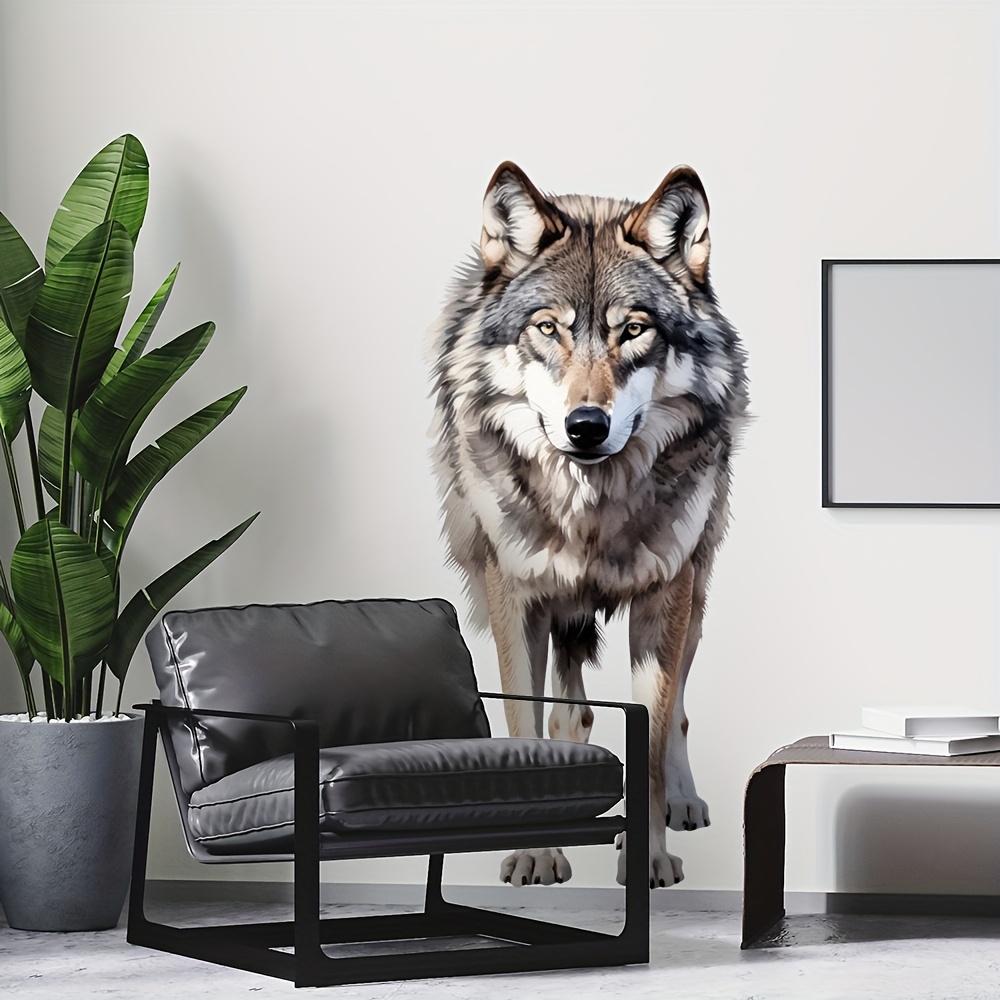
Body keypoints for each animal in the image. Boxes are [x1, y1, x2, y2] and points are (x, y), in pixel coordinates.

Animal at [428, 162, 749, 888]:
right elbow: (526, 718)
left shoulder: (665, 598)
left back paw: (684, 801)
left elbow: (654, 733)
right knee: (569, 711)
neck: (591, 512)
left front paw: (650, 856)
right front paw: (535, 851)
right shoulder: (516, 598)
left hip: (698, 596)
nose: (586, 426)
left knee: (679, 711)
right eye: (549, 329)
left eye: (634, 331)